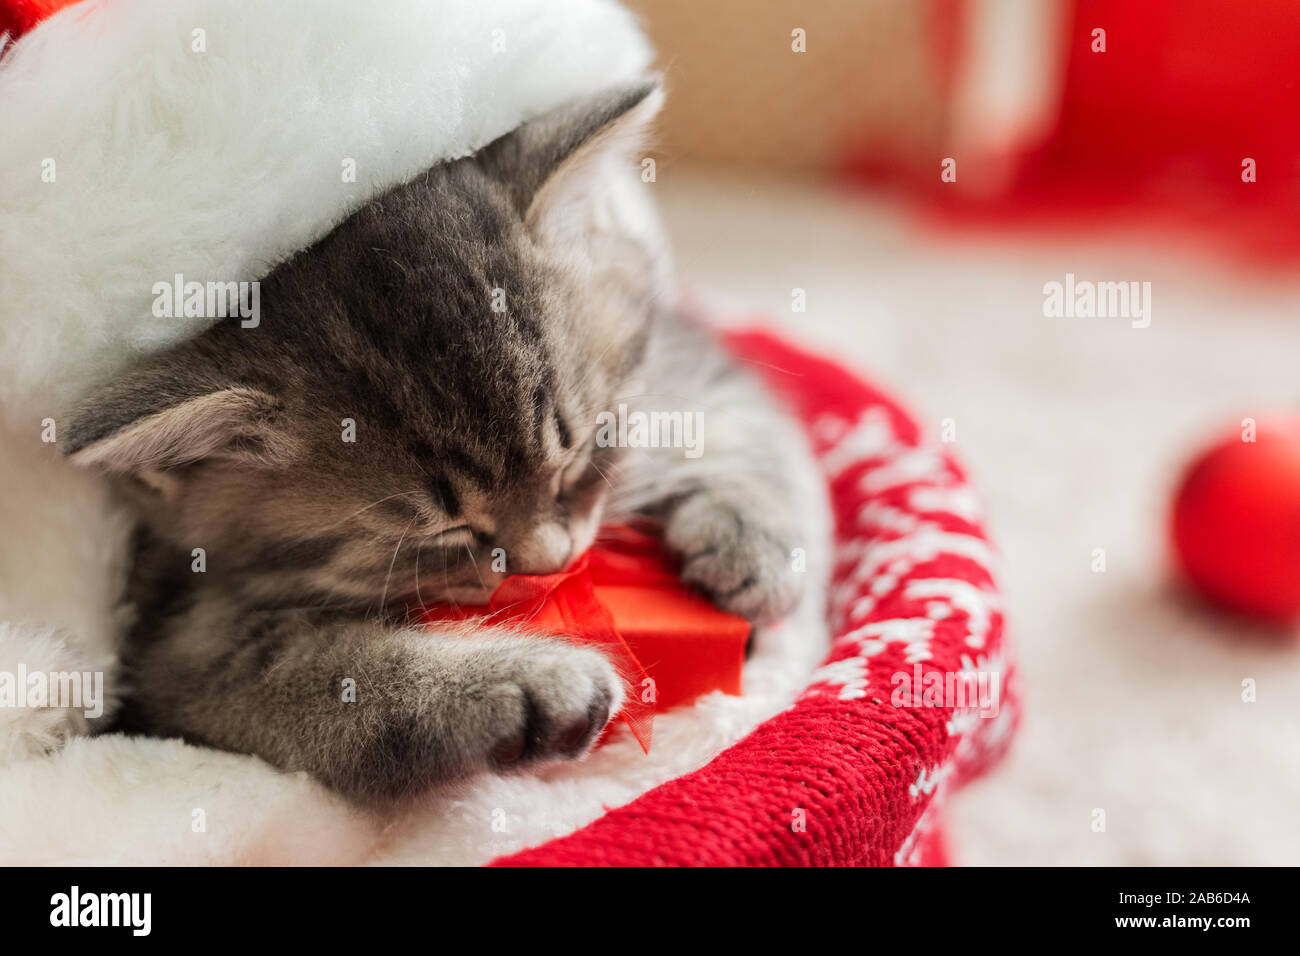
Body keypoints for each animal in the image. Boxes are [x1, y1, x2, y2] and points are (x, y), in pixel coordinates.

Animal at [63, 82, 811, 806]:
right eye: (444, 532)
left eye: (573, 460)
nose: (550, 563)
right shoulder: (177, 646)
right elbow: (330, 679)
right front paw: (518, 687)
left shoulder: (687, 353)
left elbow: (748, 423)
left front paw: (752, 543)